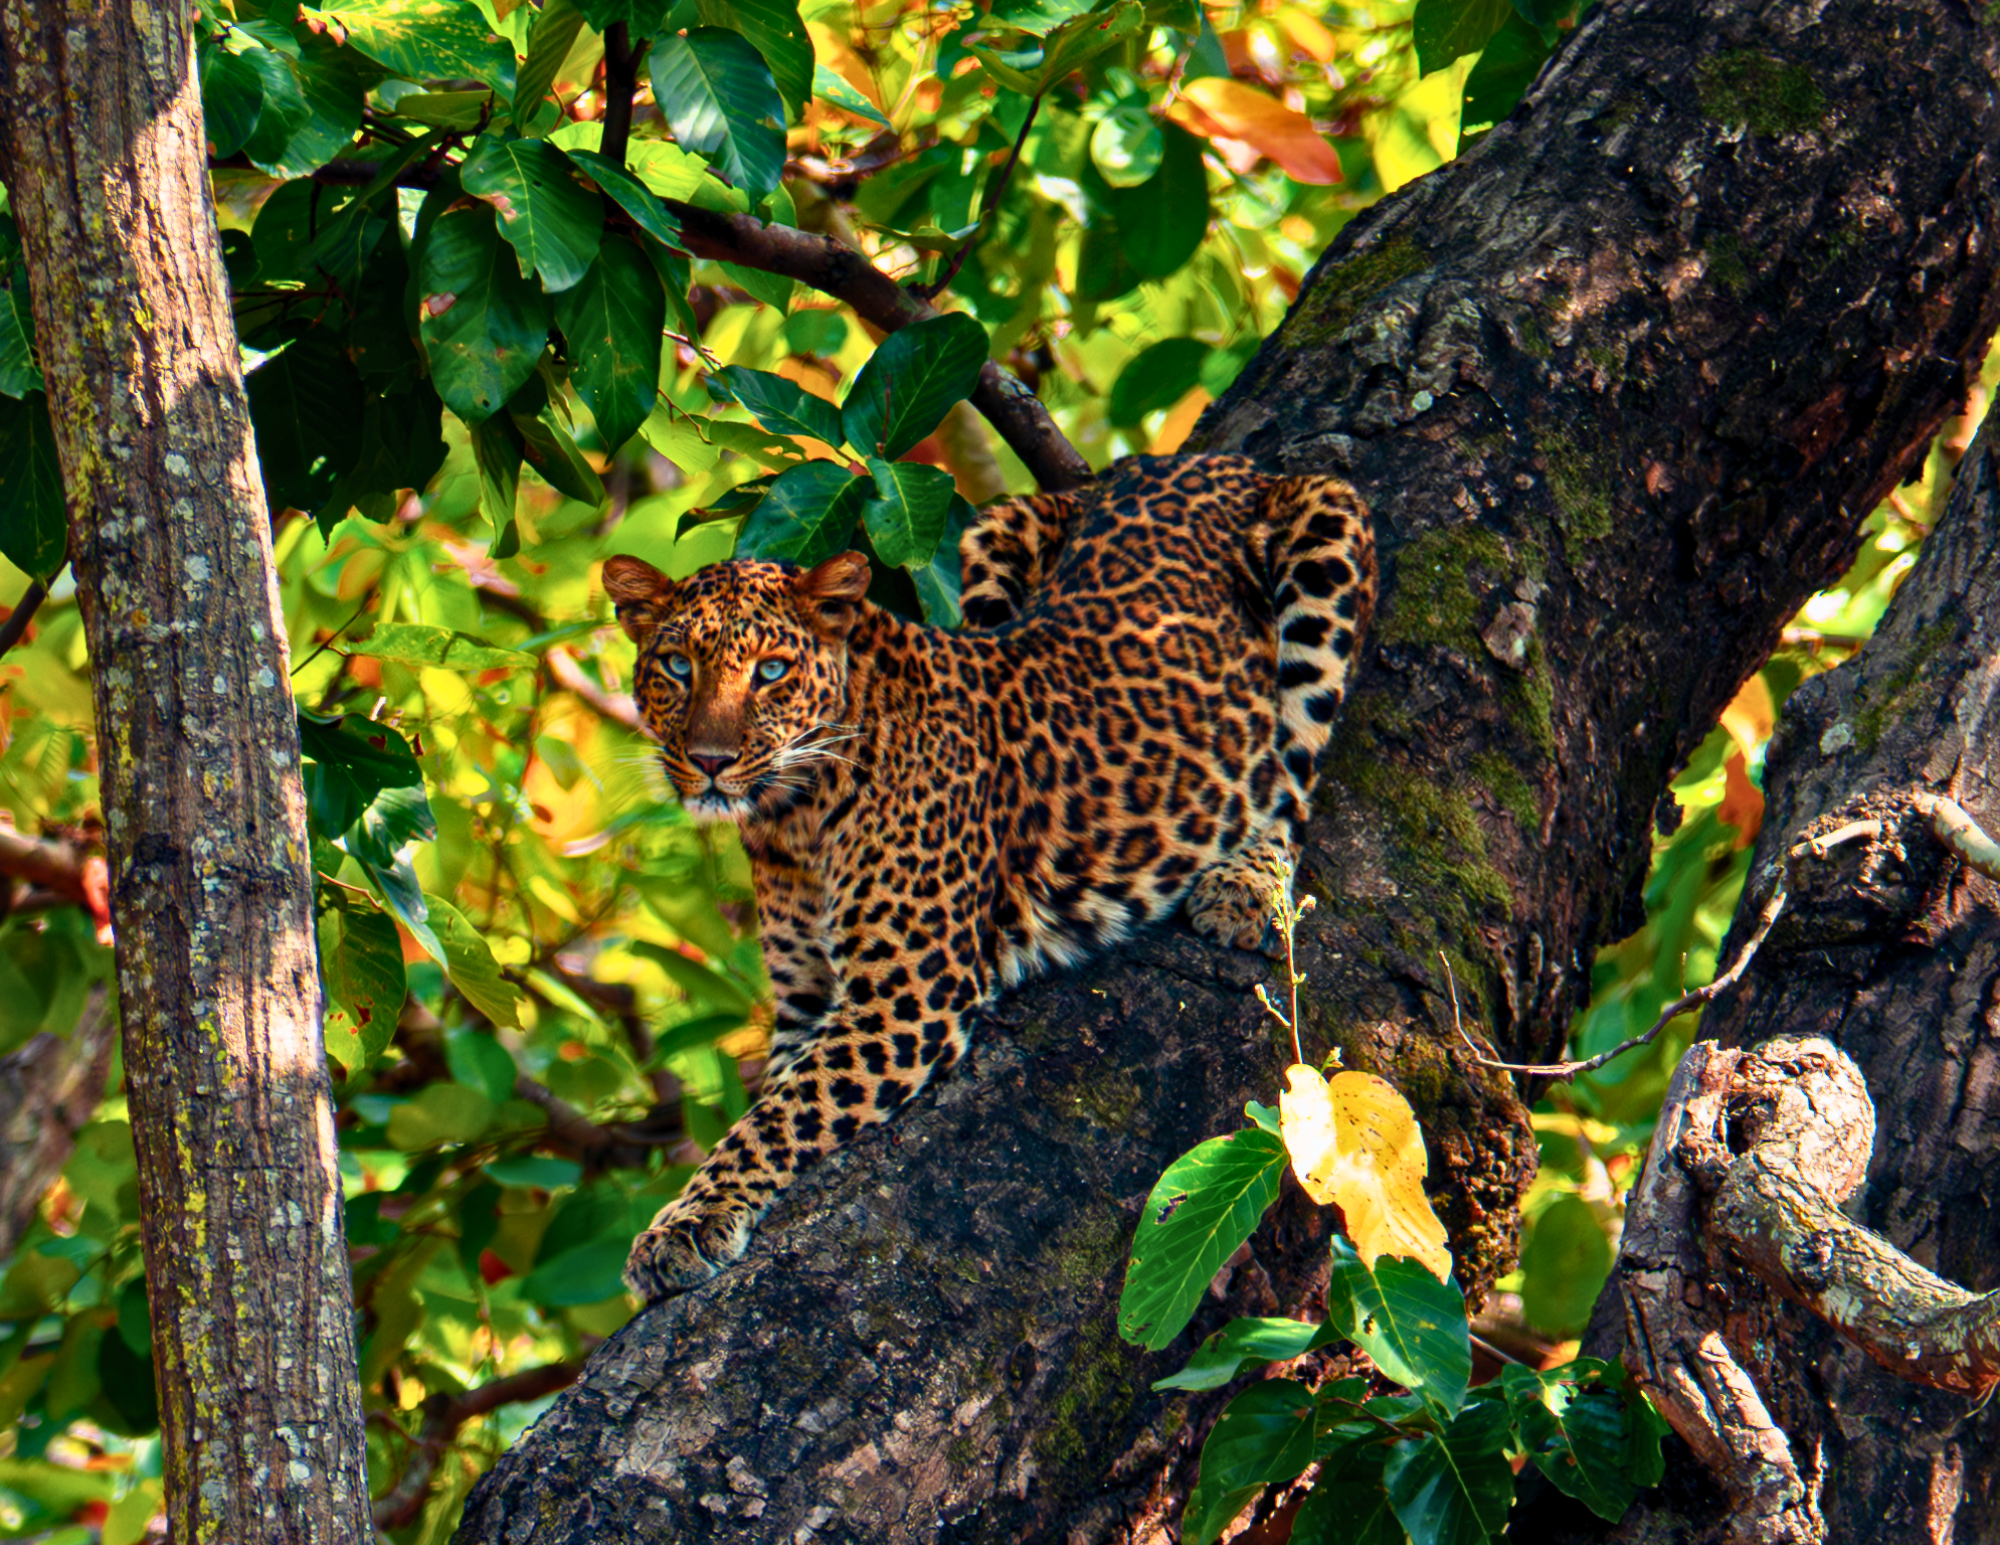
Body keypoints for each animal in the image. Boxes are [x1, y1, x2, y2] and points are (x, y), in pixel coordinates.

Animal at [604, 453, 1375, 1303]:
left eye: (771, 671)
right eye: (677, 666)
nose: (709, 760)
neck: (791, 817)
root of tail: (1197, 458)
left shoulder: (902, 1001)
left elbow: (776, 1119)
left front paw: (682, 1226)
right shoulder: (807, 1003)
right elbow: (774, 1100)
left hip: (1326, 528)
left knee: (1292, 768)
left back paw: (1243, 882)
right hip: (995, 531)